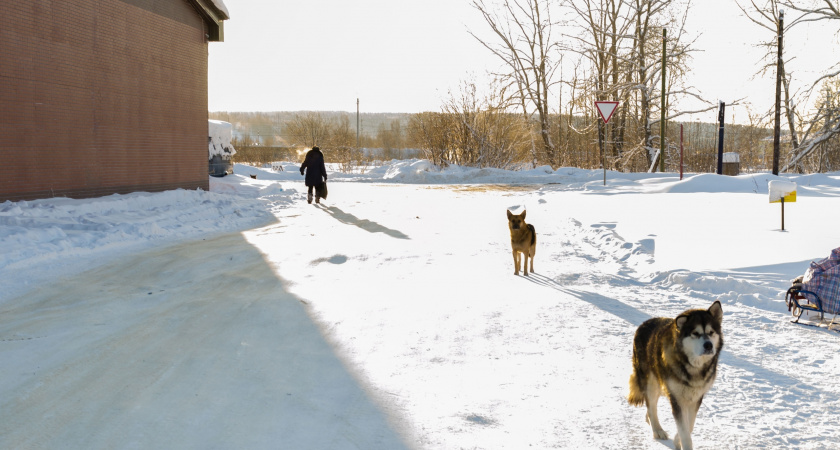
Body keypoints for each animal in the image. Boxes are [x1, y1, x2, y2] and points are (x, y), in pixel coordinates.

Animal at [628, 300, 724, 448]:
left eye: (711, 332)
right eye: (695, 333)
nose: (708, 345)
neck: (692, 367)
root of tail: (644, 324)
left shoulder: (696, 398)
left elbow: (689, 425)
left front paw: (676, 440)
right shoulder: (676, 398)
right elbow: (684, 430)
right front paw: (683, 443)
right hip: (651, 383)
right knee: (651, 406)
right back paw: (657, 430)